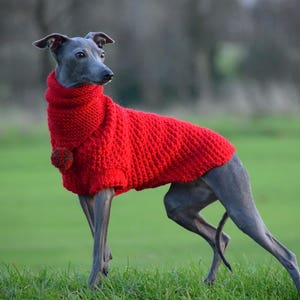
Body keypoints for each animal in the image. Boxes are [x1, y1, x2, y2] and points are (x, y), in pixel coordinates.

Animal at [32, 32, 300, 292]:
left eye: (102, 53)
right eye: (80, 54)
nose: (108, 74)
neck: (85, 121)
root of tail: (232, 150)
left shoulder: (104, 189)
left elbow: (97, 247)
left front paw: (91, 286)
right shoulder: (84, 193)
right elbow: (99, 238)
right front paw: (103, 275)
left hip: (239, 206)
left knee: (285, 253)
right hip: (178, 204)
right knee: (221, 238)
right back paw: (209, 283)